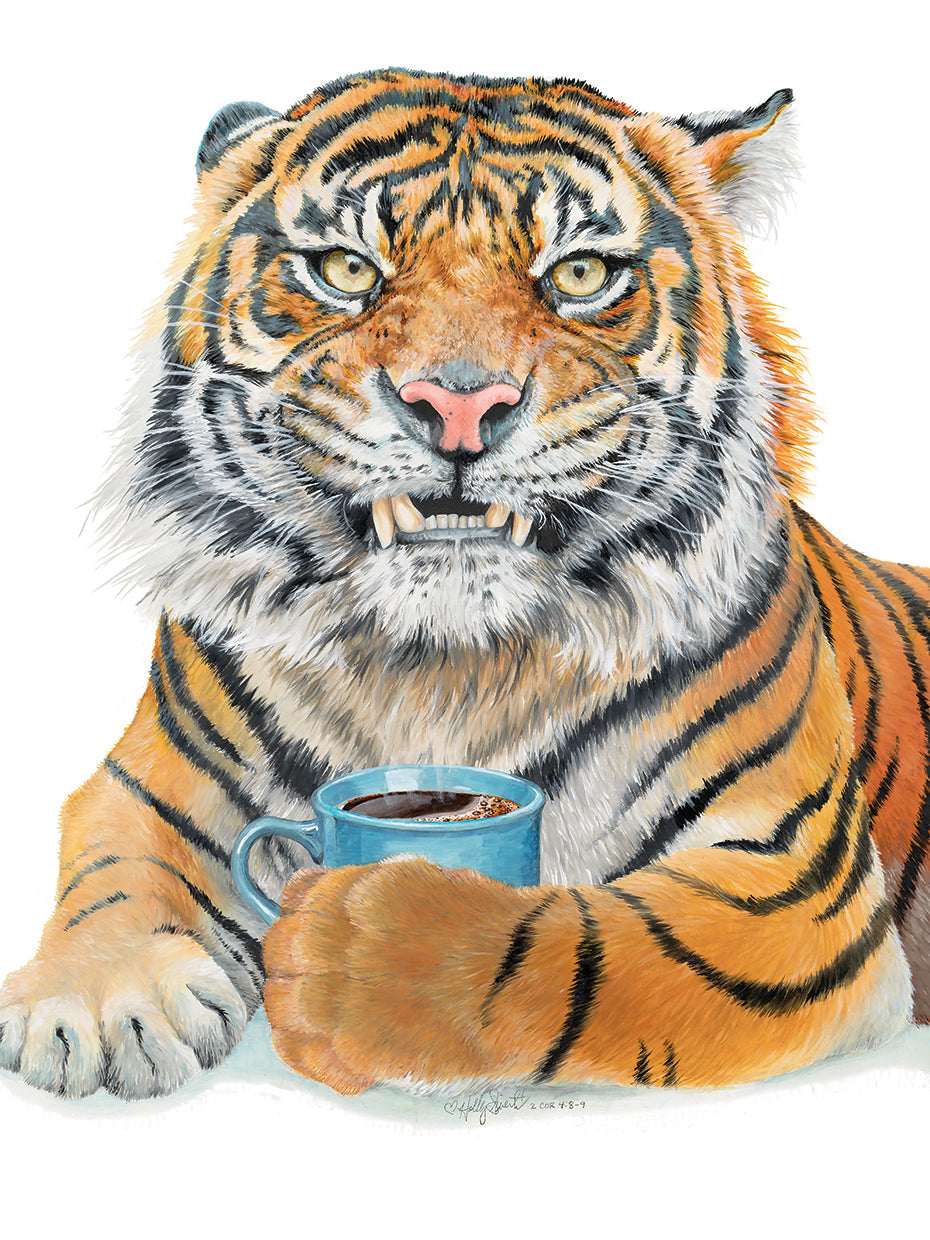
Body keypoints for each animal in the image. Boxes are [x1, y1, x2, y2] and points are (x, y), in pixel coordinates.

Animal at [0, 68, 926, 1100]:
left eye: (579, 275)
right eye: (347, 270)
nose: (458, 405)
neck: (440, 667)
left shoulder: (791, 879)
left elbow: (576, 943)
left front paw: (355, 953)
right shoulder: (149, 778)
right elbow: (113, 865)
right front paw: (98, 1002)